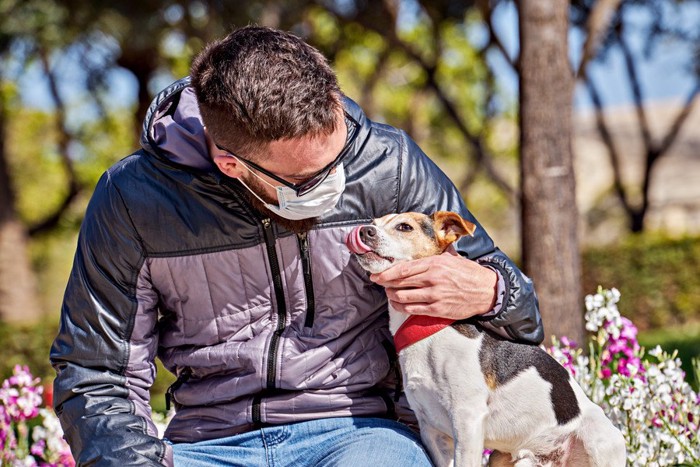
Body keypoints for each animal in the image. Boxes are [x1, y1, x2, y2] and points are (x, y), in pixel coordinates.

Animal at [348, 213, 628, 467]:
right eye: (374, 222)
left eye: (404, 227)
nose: (364, 231)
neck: (427, 327)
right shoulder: (431, 430)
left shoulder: (467, 419)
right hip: (506, 459)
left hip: (599, 442)